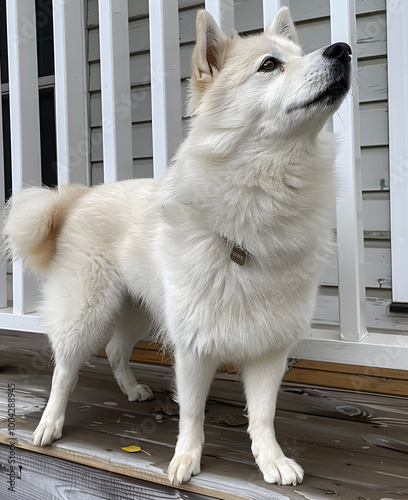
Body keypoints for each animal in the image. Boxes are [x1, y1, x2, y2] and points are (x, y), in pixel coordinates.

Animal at [3, 6, 350, 484]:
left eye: (301, 54)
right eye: (269, 64)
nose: (344, 50)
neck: (259, 206)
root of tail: (77, 196)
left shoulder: (269, 346)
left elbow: (263, 414)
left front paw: (271, 459)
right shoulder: (193, 345)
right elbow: (192, 413)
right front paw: (186, 459)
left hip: (135, 309)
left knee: (115, 351)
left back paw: (132, 389)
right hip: (86, 312)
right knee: (65, 370)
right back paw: (48, 425)